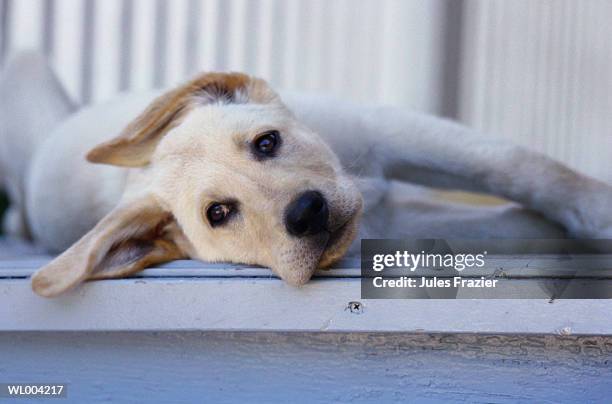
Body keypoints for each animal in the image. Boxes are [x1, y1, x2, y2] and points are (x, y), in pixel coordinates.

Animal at [3, 52, 612, 296]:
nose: (308, 212)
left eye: (267, 142)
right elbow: (513, 219)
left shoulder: (391, 130)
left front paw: (595, 207)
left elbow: (517, 165)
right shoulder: (394, 225)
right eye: (218, 213)